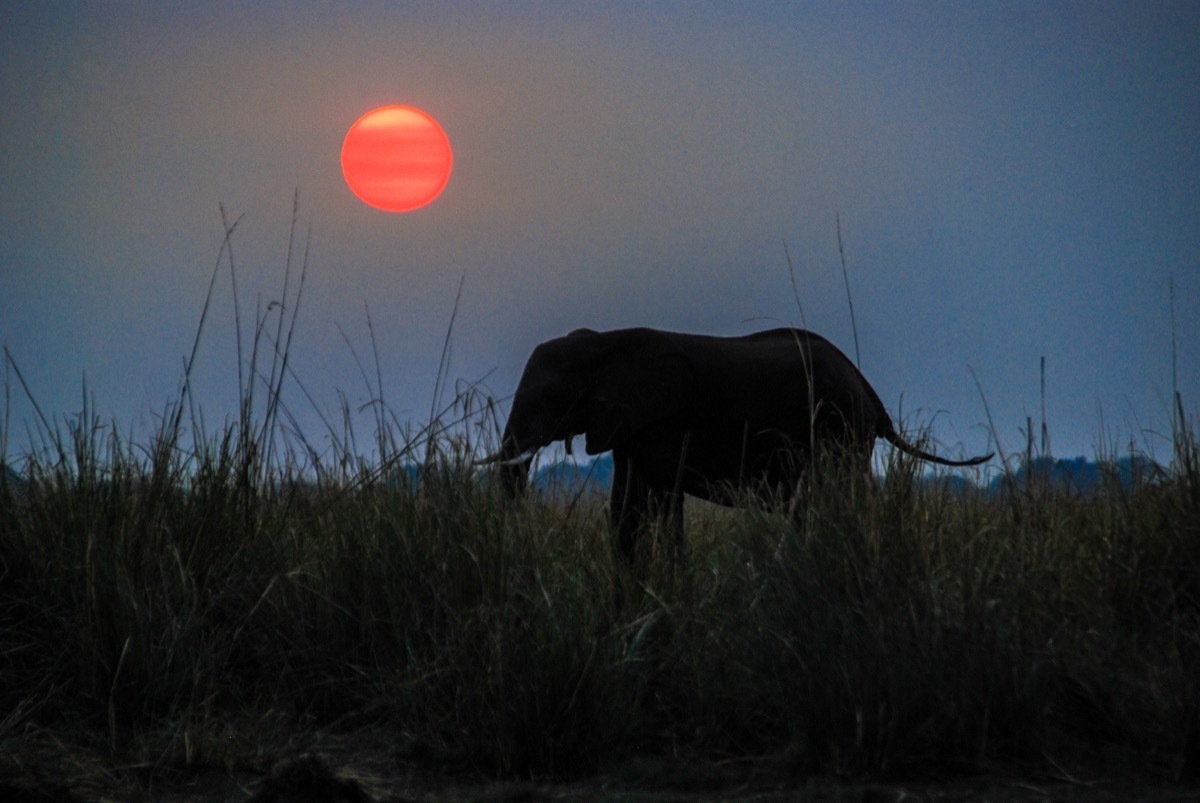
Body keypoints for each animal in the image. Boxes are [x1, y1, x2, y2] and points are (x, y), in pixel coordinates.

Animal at [479, 327, 992, 565]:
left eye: (551, 396)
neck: (604, 342)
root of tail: (872, 394)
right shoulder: (631, 426)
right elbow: (625, 503)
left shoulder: (666, 421)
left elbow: (658, 498)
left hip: (838, 431)